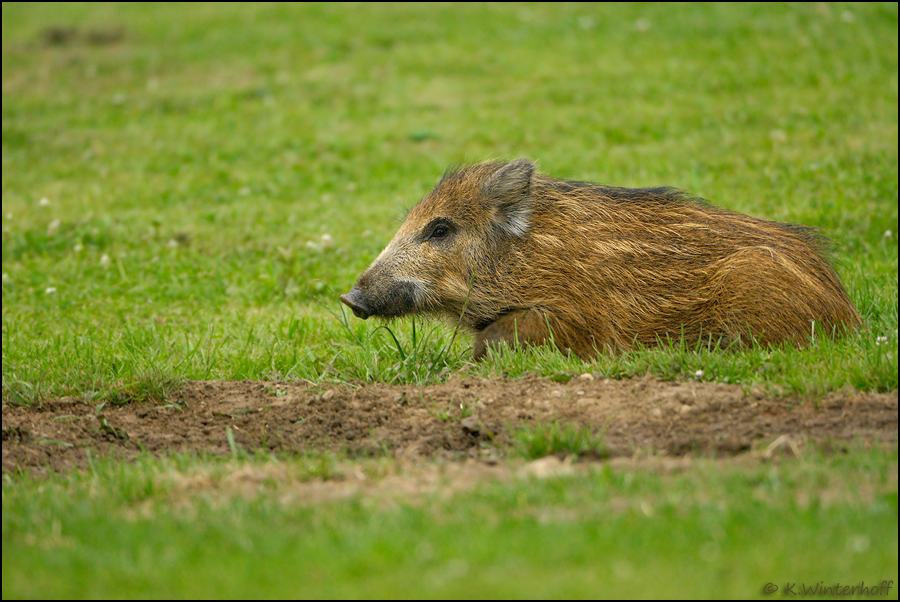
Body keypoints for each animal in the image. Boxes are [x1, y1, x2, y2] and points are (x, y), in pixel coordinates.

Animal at [340, 159, 861, 360]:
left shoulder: (574, 317)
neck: (529, 256)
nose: (350, 298)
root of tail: (849, 315)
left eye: (441, 229)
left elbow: (494, 342)